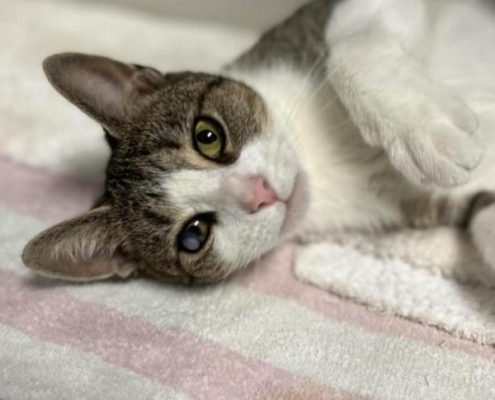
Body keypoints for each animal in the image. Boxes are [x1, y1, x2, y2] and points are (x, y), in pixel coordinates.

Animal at [21, 0, 495, 284]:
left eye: (207, 136)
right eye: (193, 235)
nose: (259, 192)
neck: (321, 159)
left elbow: (349, 44)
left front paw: (429, 136)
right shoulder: (405, 200)